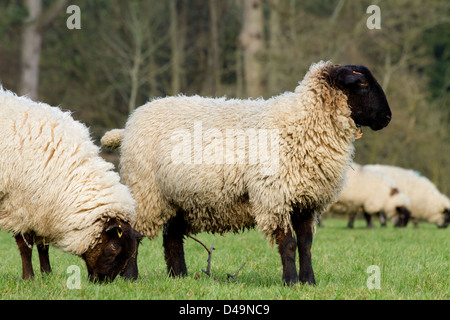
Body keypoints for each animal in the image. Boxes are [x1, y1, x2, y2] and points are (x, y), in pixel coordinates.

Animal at [0, 89, 144, 282]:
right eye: (114, 247)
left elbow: (43, 246)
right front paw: (29, 278)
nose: (102, 282)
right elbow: (26, 246)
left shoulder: (42, 209)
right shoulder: (20, 205)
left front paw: (47, 274)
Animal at [101, 60, 390, 284]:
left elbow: (306, 245)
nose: (387, 118)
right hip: (145, 190)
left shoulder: (306, 199)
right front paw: (290, 282)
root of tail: (129, 124)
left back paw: (179, 277)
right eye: (362, 83)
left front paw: (309, 281)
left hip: (179, 196)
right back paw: (132, 277)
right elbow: (289, 244)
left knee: (171, 238)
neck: (303, 122)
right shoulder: (275, 196)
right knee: (134, 234)